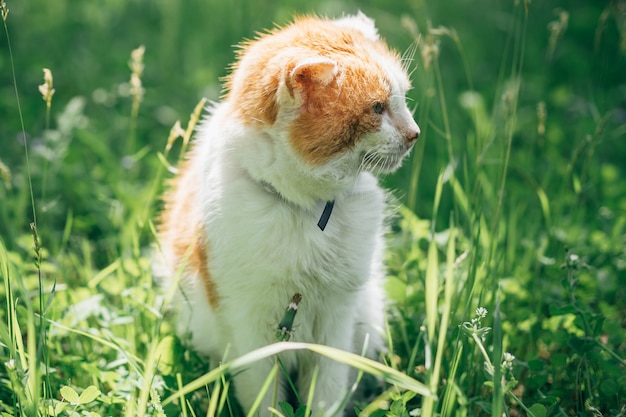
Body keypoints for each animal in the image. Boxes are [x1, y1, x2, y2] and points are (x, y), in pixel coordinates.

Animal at [155, 11, 420, 414]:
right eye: (377, 108)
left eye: (402, 99)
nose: (414, 134)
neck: (306, 209)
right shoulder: (251, 326)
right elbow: (264, 398)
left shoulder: (336, 319)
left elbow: (325, 393)